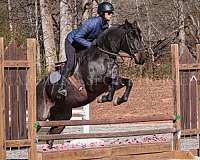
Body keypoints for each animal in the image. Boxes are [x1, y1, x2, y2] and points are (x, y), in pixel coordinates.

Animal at [36, 19, 145, 148]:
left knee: (50, 136)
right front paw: (104, 98)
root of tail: (38, 85)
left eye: (140, 36)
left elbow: (127, 82)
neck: (105, 56)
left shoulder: (114, 80)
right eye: (131, 37)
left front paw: (118, 100)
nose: (141, 59)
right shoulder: (94, 84)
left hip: (62, 117)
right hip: (41, 115)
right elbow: (112, 84)